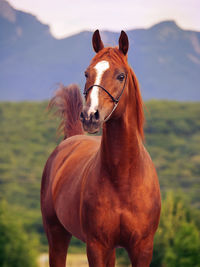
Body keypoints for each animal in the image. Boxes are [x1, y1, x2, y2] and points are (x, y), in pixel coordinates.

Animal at [40, 30, 161, 266]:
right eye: (87, 73)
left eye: (121, 76)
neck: (123, 178)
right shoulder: (96, 246)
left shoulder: (142, 248)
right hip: (56, 235)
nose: (90, 116)